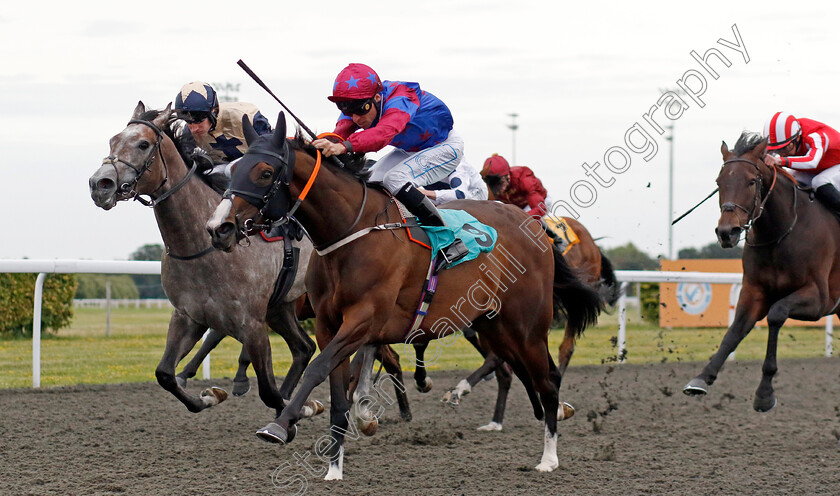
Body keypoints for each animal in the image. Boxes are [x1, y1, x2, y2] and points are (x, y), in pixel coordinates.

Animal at [88, 103, 324, 418]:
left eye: (143, 144)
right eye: (113, 141)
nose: (99, 184)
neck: (201, 247)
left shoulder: (252, 324)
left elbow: (267, 390)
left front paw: (303, 406)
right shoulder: (188, 316)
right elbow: (165, 374)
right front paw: (211, 395)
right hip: (282, 307)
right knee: (303, 347)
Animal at [209, 113, 604, 480]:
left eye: (264, 172)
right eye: (233, 169)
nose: (218, 228)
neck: (351, 232)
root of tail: (536, 228)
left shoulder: (364, 319)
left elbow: (319, 368)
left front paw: (280, 424)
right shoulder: (327, 323)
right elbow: (337, 394)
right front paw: (334, 468)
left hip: (526, 326)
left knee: (547, 380)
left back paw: (548, 458)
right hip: (494, 325)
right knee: (525, 372)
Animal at [684, 132, 840, 410]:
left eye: (751, 181)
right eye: (719, 182)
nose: (727, 232)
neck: (781, 233)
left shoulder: (821, 299)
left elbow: (776, 314)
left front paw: (765, 393)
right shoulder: (754, 291)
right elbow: (734, 331)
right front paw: (702, 377)